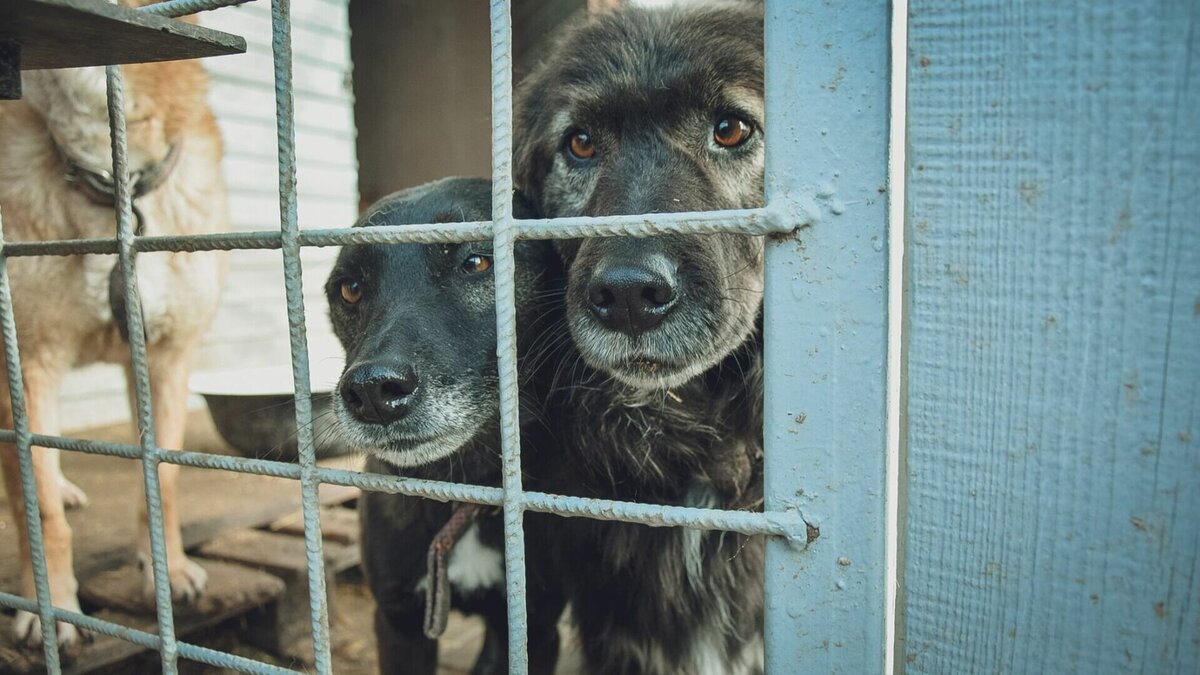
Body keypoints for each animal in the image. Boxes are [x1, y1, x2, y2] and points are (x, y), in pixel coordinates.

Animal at [0, 27, 229, 648]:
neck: (112, 183)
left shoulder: (166, 357)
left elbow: (163, 480)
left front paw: (167, 573)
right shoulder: (27, 363)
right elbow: (40, 508)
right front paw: (51, 606)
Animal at [328, 178, 566, 672]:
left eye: (476, 262)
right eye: (350, 289)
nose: (373, 392)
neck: (464, 489)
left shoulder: (534, 628)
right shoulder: (398, 621)